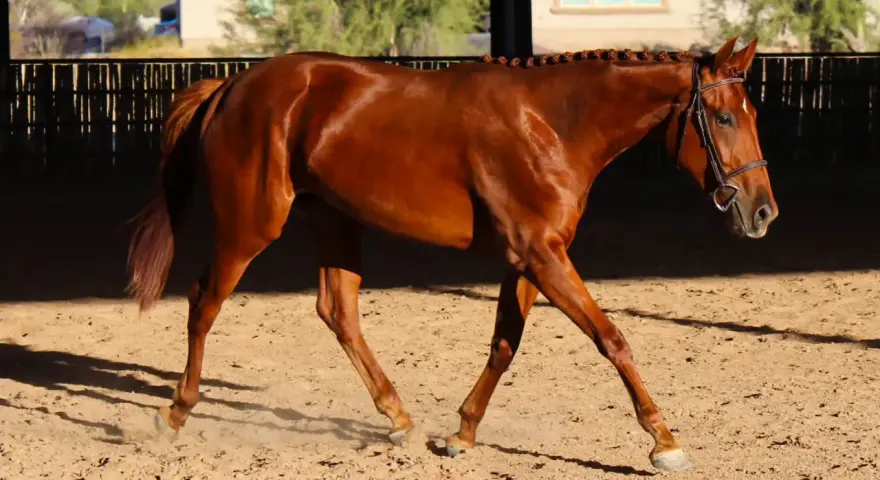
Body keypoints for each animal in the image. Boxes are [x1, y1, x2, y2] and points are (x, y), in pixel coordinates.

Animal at [126, 35, 777, 472]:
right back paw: (174, 413)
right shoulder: (542, 256)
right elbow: (612, 338)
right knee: (204, 301)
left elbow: (504, 345)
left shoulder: (530, 258)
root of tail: (231, 87)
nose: (763, 212)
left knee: (338, 312)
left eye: (751, 114)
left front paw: (461, 434)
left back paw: (400, 420)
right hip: (250, 226)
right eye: (722, 117)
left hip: (334, 221)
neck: (552, 124)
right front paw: (665, 441)